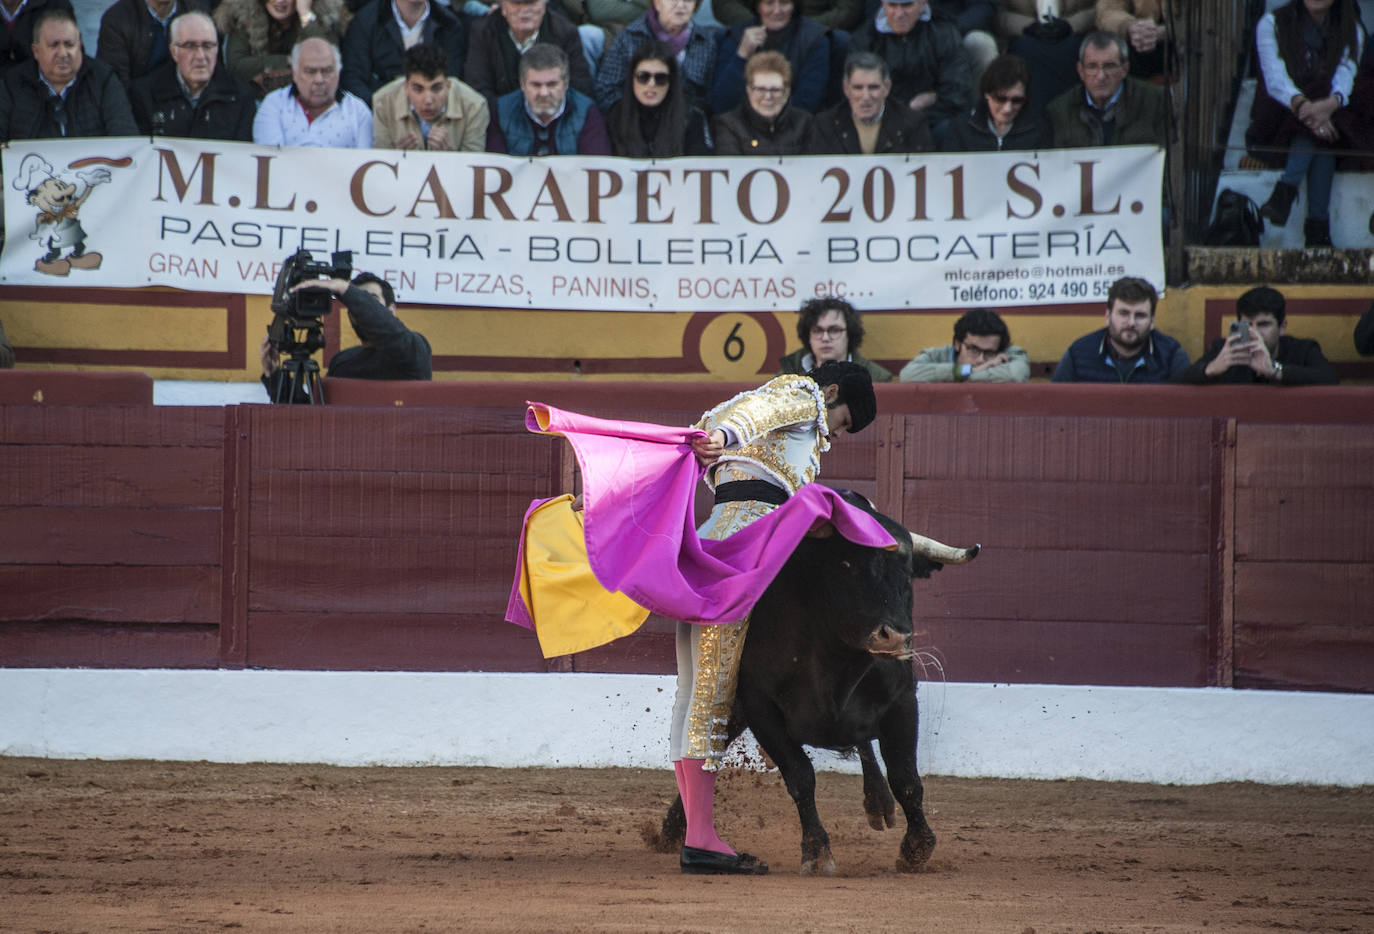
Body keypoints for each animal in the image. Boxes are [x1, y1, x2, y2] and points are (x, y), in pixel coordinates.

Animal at [654, 497, 978, 873]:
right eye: (847, 564)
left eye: (908, 570)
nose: (895, 637)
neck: (838, 663)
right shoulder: (761, 708)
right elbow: (800, 776)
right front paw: (817, 850)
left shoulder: (902, 702)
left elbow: (906, 778)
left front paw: (917, 846)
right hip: (731, 703)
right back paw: (673, 830)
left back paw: (879, 803)